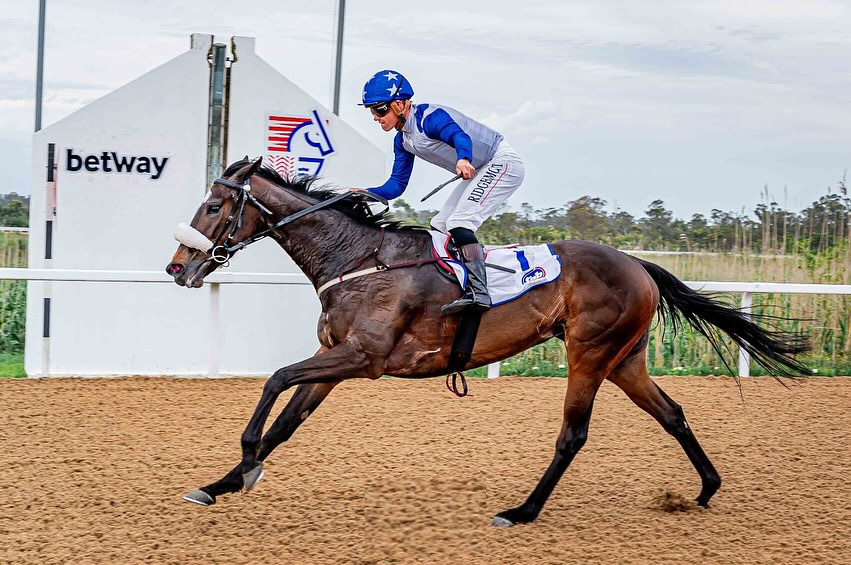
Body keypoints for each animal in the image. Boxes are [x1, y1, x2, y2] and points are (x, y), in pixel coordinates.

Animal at [166, 156, 812, 528]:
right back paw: (705, 489)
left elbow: (275, 382)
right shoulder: (333, 359)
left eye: (215, 205)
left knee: (573, 435)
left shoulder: (363, 358)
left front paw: (246, 460)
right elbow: (286, 422)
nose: (177, 267)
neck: (358, 260)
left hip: (589, 353)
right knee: (673, 413)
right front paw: (222, 483)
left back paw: (522, 511)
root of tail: (638, 264)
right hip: (625, 359)